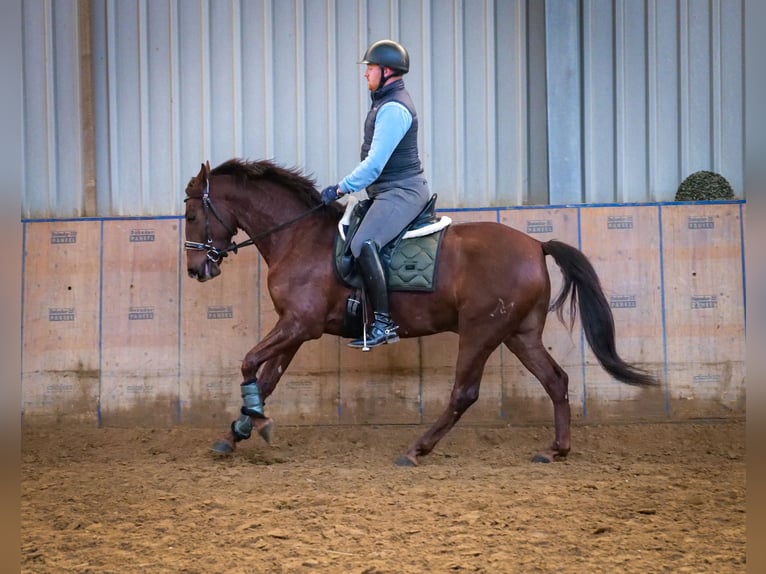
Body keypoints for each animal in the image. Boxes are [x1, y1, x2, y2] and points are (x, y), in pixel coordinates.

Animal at [183, 159, 656, 468]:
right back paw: (555, 449)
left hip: (481, 331)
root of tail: (536, 245)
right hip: (519, 333)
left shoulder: (299, 324)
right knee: (556, 380)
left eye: (190, 214)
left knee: (464, 393)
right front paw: (237, 432)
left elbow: (249, 362)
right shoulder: (296, 329)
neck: (298, 238)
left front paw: (255, 423)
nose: (196, 269)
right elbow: (267, 377)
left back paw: (416, 450)